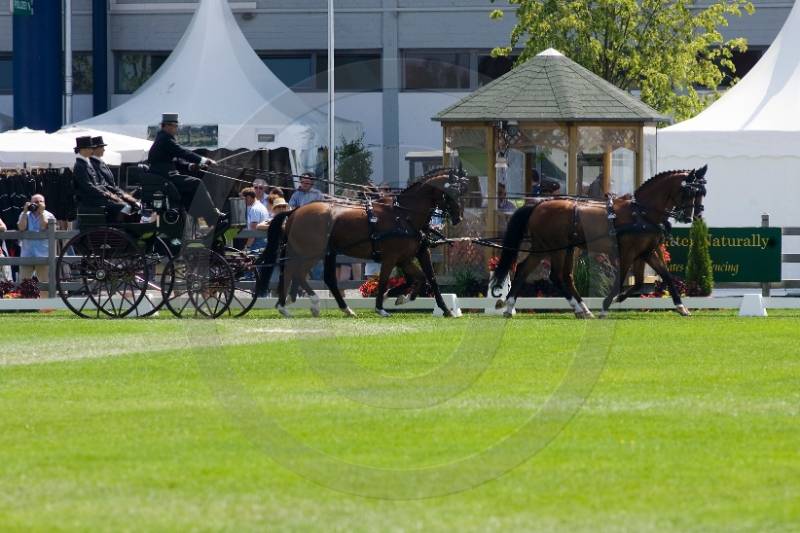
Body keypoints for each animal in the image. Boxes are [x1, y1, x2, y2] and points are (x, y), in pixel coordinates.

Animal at [255, 168, 467, 318]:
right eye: (453, 191)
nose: (459, 218)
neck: (404, 215)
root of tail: (295, 211)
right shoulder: (391, 258)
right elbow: (385, 280)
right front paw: (382, 307)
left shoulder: (411, 255)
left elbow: (426, 279)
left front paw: (438, 307)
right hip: (312, 252)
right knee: (297, 273)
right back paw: (304, 303)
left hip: (324, 252)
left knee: (318, 277)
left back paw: (339, 308)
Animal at [491, 166, 708, 318]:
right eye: (690, 192)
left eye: (702, 193)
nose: (691, 218)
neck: (641, 212)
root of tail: (539, 205)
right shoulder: (628, 252)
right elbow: (621, 279)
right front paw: (606, 305)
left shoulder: (646, 252)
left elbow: (657, 278)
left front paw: (681, 307)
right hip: (555, 248)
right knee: (555, 276)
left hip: (553, 248)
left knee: (529, 270)